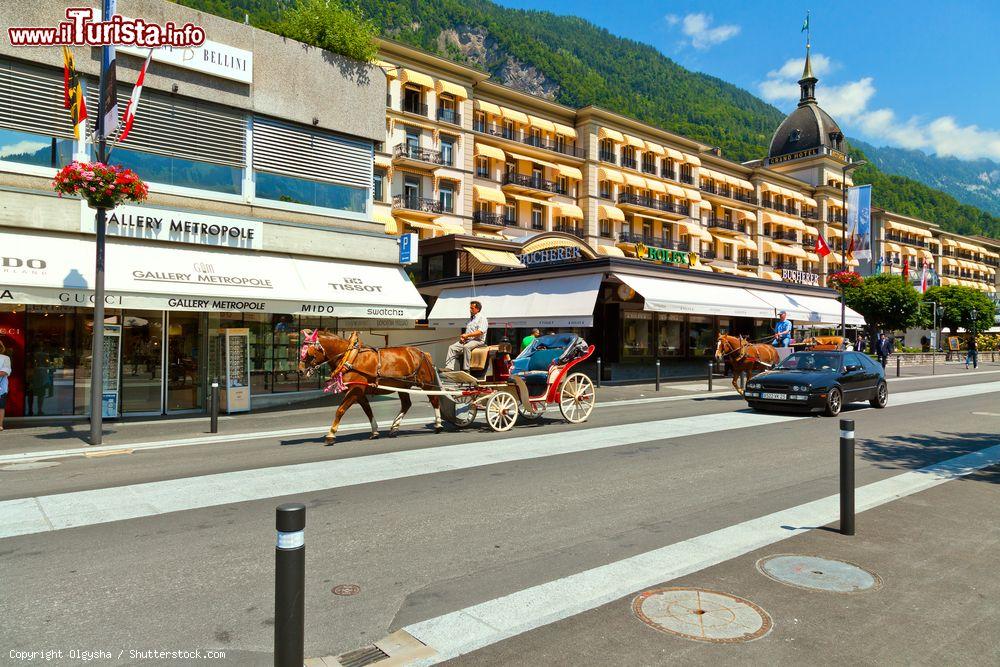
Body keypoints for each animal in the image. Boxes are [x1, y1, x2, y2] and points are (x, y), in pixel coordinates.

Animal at [294, 330, 440, 446]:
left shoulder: (355, 390)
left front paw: (331, 435)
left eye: (309, 352)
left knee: (434, 400)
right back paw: (394, 428)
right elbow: (368, 410)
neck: (350, 358)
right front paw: (375, 431)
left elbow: (340, 410)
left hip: (426, 384)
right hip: (402, 386)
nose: (300, 371)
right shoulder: (359, 392)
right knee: (406, 404)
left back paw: (438, 424)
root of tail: (422, 352)